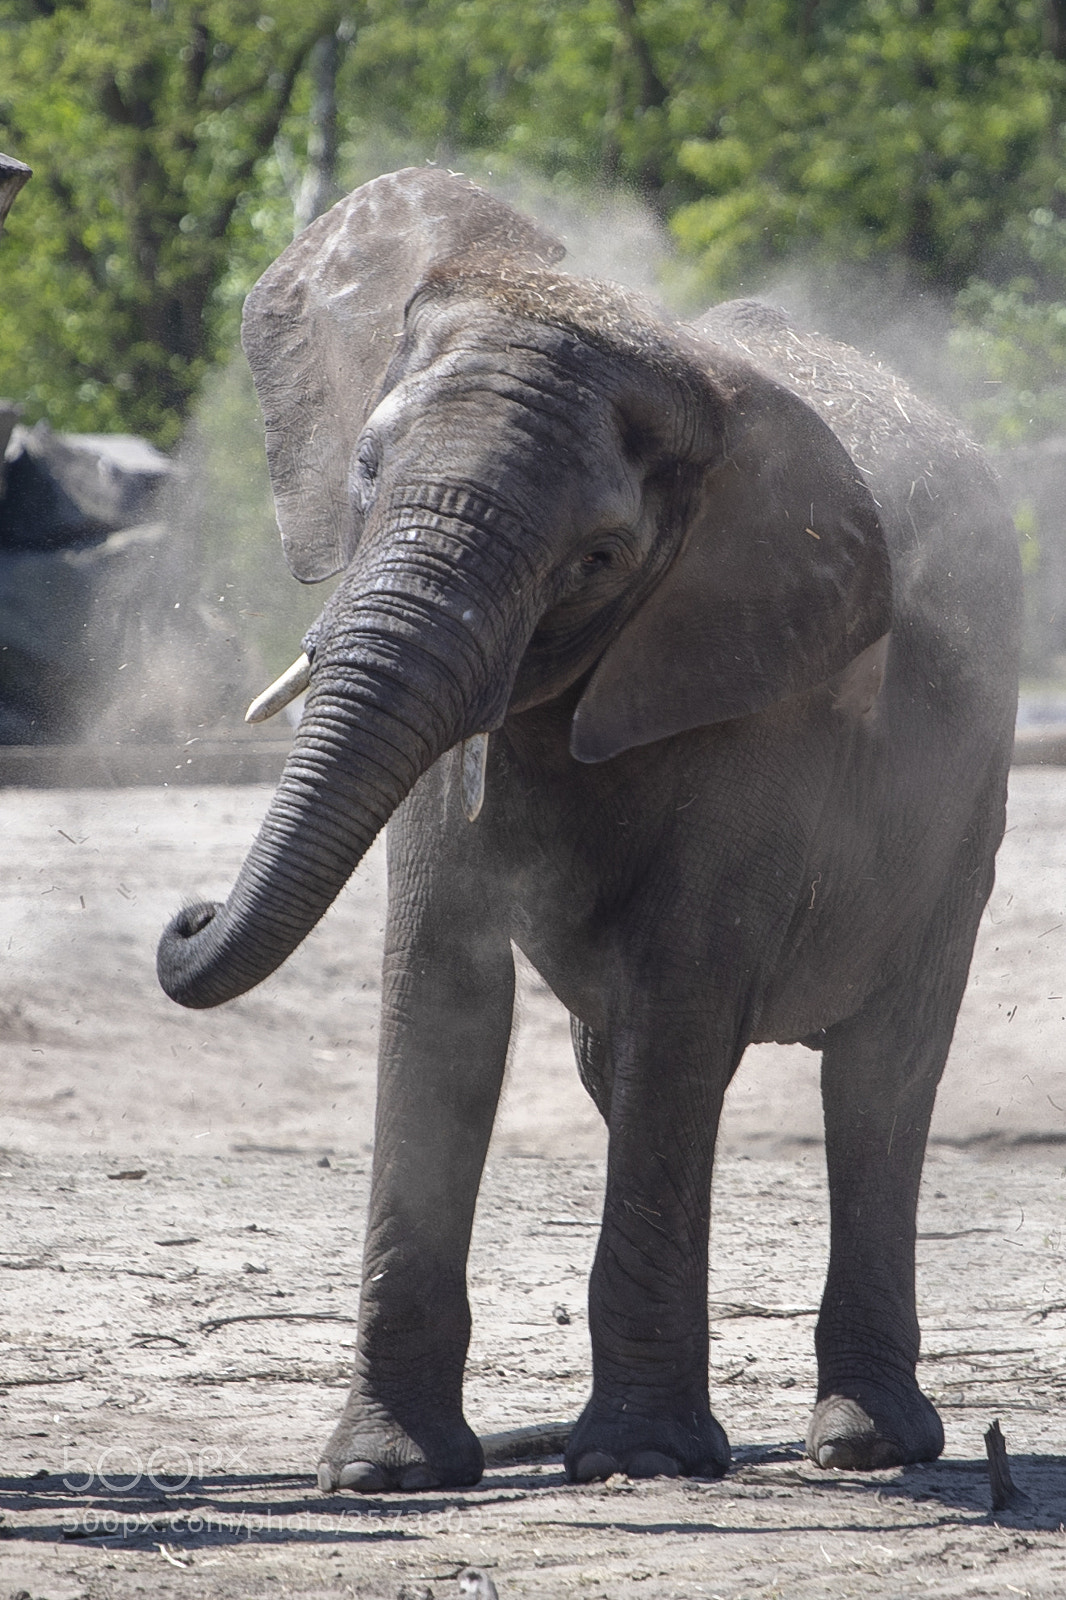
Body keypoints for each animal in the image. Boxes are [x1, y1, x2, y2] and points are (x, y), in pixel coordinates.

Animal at [157, 167, 1021, 1491]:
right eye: (365, 469)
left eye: (601, 557)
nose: (187, 913)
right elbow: (439, 987)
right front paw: (388, 1473)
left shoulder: (756, 684)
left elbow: (683, 987)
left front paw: (640, 1460)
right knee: (625, 1066)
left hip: (964, 805)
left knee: (875, 1074)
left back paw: (862, 1443)